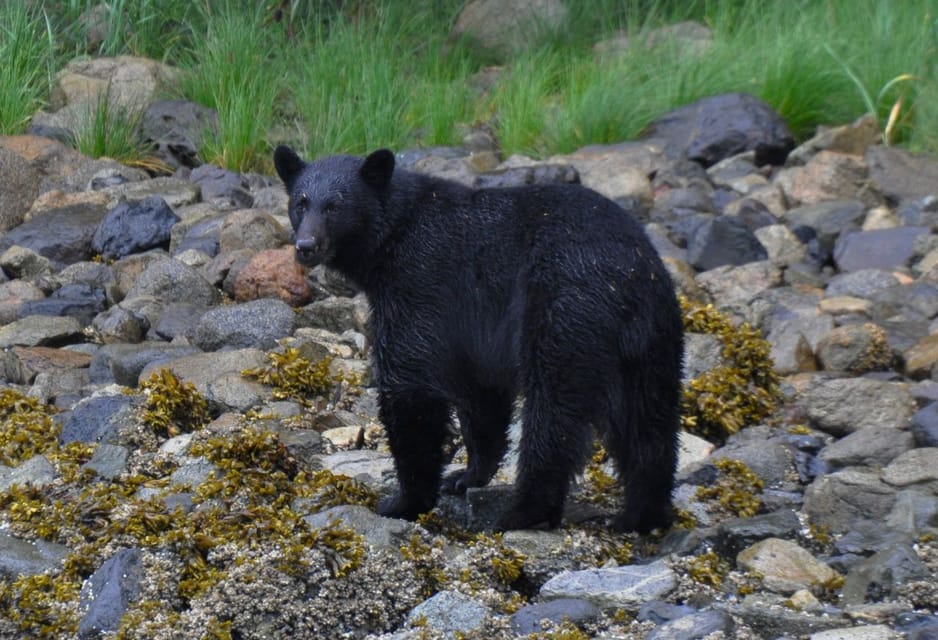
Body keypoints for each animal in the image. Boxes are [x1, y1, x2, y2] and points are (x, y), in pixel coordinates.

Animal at [274, 145, 684, 528]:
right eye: (301, 203)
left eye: (336, 206)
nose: (306, 246)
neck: (394, 234)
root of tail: (630, 276)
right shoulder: (470, 332)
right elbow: (480, 393)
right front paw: (467, 475)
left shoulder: (418, 284)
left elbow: (410, 385)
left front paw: (406, 500)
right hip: (653, 341)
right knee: (650, 422)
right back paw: (642, 515)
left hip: (565, 312)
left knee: (553, 411)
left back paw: (525, 510)